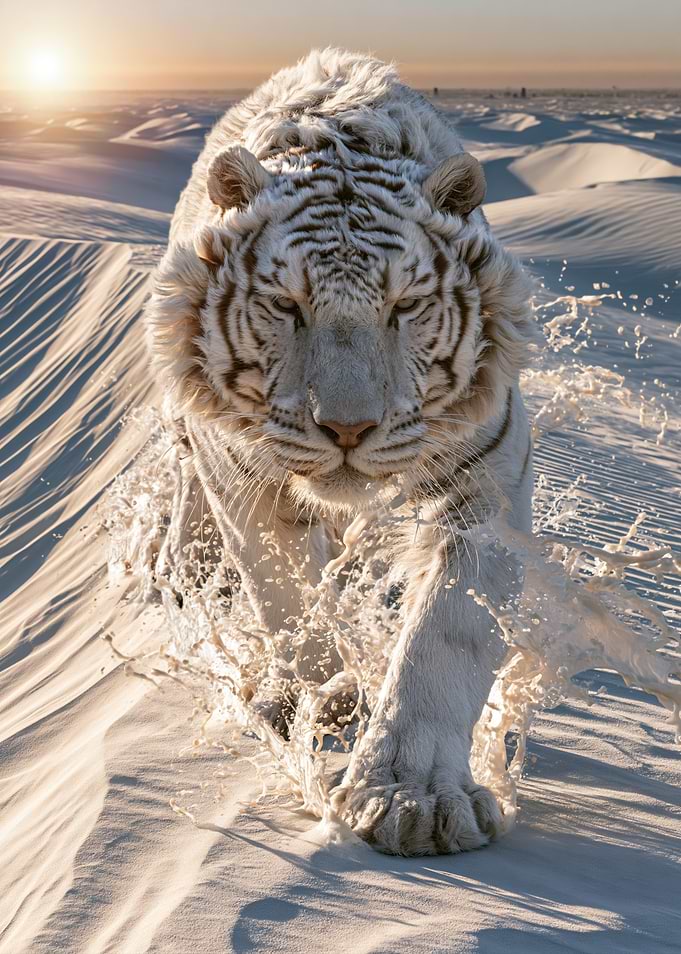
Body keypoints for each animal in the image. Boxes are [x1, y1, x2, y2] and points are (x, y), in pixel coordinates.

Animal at [145, 48, 535, 857]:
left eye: (404, 307)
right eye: (285, 305)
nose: (348, 430)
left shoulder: (484, 482)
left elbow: (444, 634)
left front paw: (415, 798)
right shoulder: (244, 476)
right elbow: (286, 592)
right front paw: (325, 701)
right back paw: (185, 569)